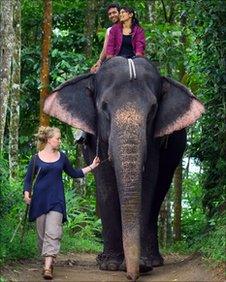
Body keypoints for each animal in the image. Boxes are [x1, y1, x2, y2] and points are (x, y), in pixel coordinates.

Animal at [43, 56, 204, 280]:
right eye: (104, 107)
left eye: (153, 109)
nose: (132, 275)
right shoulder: (94, 136)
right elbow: (106, 184)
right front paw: (111, 265)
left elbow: (148, 180)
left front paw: (143, 265)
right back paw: (104, 259)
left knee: (160, 190)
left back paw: (153, 260)